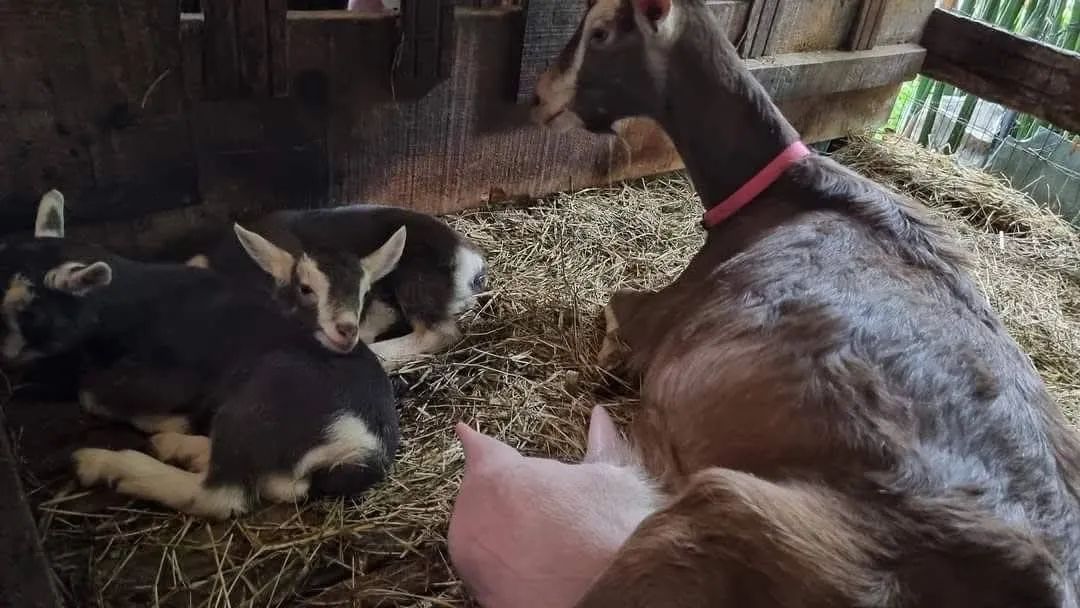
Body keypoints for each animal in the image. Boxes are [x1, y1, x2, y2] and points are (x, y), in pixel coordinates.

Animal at [0, 191, 400, 519]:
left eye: (26, 309)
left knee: (220, 494)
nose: (6, 357)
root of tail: (362, 445)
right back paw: (182, 448)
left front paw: (169, 423)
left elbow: (91, 395)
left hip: (263, 398)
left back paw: (107, 463)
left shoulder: (169, 378)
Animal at [193, 206, 486, 369]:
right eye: (305, 288)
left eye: (364, 291)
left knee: (439, 332)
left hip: (417, 283)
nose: (346, 330)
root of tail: (471, 260)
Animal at [453, 0, 1080, 604]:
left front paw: (609, 364)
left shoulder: (662, 309)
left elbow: (614, 304)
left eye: (601, 32)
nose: (538, 96)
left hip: (732, 506)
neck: (788, 189)